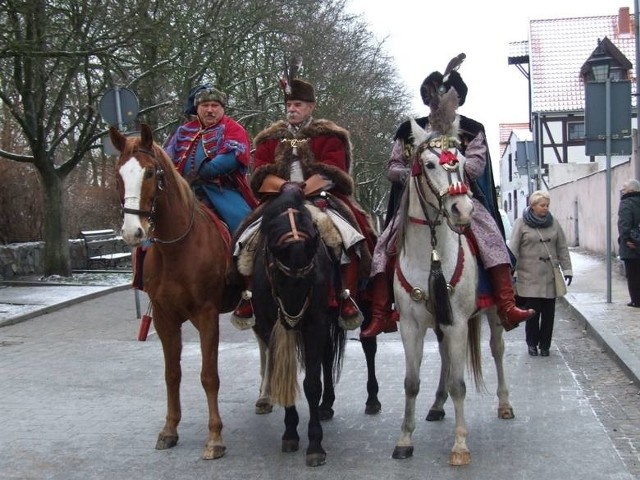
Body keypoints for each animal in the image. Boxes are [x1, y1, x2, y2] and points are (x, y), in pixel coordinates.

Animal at [109, 124, 236, 462]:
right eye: (118, 174)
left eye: (151, 172)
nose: (133, 232)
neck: (178, 247)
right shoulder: (164, 318)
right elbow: (172, 374)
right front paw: (169, 429)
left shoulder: (207, 316)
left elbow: (209, 376)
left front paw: (214, 438)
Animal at [392, 98, 512, 464]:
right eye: (429, 164)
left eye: (458, 161)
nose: (462, 210)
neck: (430, 252)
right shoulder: (411, 325)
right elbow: (411, 381)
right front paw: (405, 439)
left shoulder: (458, 322)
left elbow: (461, 384)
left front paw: (460, 445)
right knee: (445, 358)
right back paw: (436, 404)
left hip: (492, 315)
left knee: (497, 350)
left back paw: (504, 403)